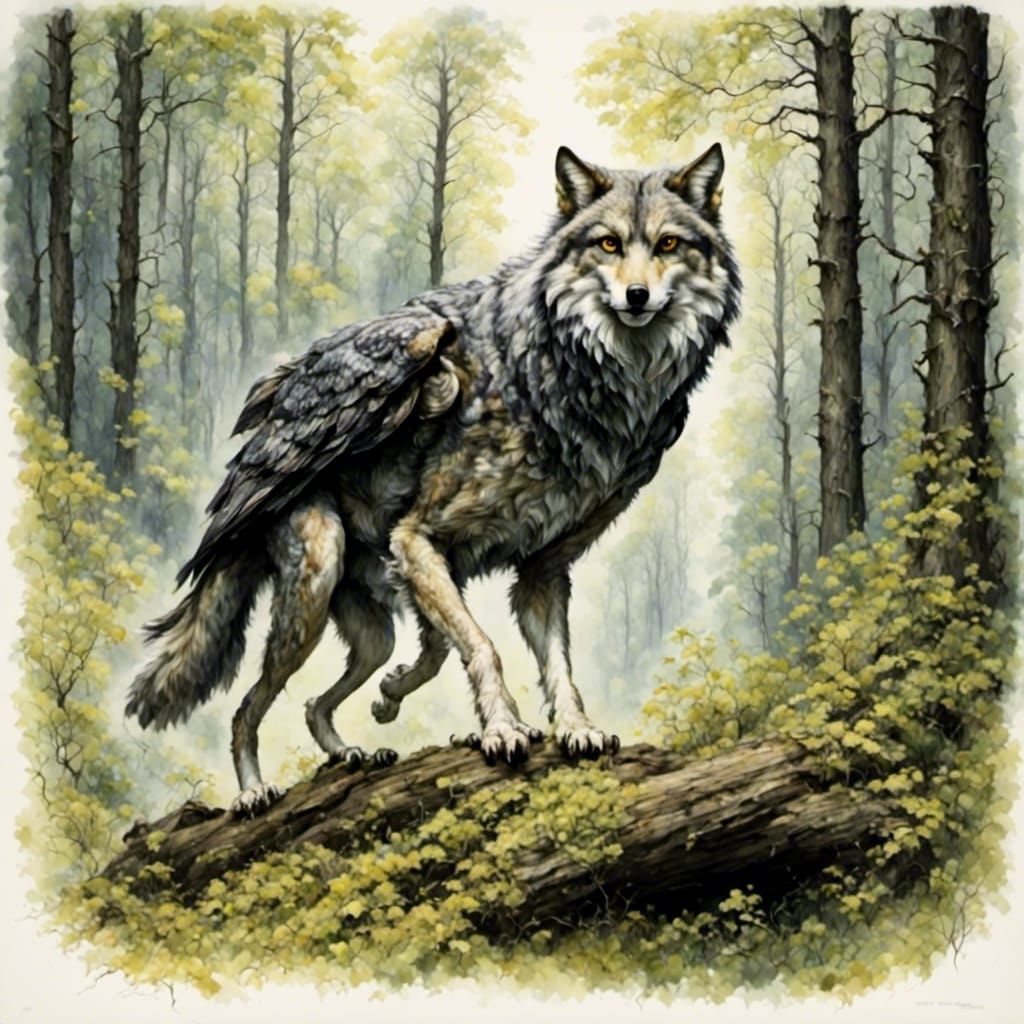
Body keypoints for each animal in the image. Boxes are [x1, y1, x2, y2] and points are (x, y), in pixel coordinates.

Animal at [126, 144, 741, 815]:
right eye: (608, 243)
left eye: (667, 244)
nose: (636, 296)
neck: (569, 379)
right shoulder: (419, 539)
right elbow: (486, 648)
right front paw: (502, 729)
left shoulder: (542, 570)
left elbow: (556, 665)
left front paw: (576, 729)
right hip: (318, 576)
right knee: (246, 708)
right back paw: (254, 791)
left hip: (373, 623)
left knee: (338, 690)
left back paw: (357, 738)